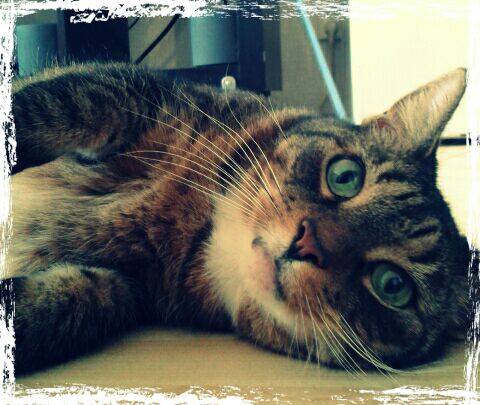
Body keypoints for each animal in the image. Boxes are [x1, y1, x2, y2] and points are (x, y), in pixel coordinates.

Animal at [4, 63, 471, 375]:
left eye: (393, 285)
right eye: (345, 176)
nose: (307, 243)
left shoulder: (120, 288)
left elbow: (59, 308)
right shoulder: (130, 93)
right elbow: (42, 108)